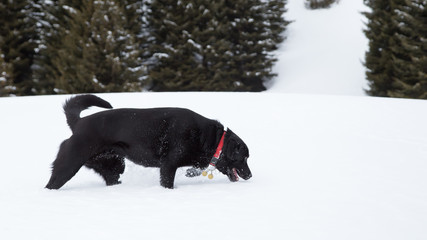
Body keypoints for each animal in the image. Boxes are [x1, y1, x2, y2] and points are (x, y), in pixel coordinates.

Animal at [47, 94, 252, 188]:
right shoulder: (168, 165)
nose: (250, 176)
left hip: (114, 167)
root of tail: (78, 122)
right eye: (243, 157)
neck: (208, 138)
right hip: (68, 166)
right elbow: (168, 183)